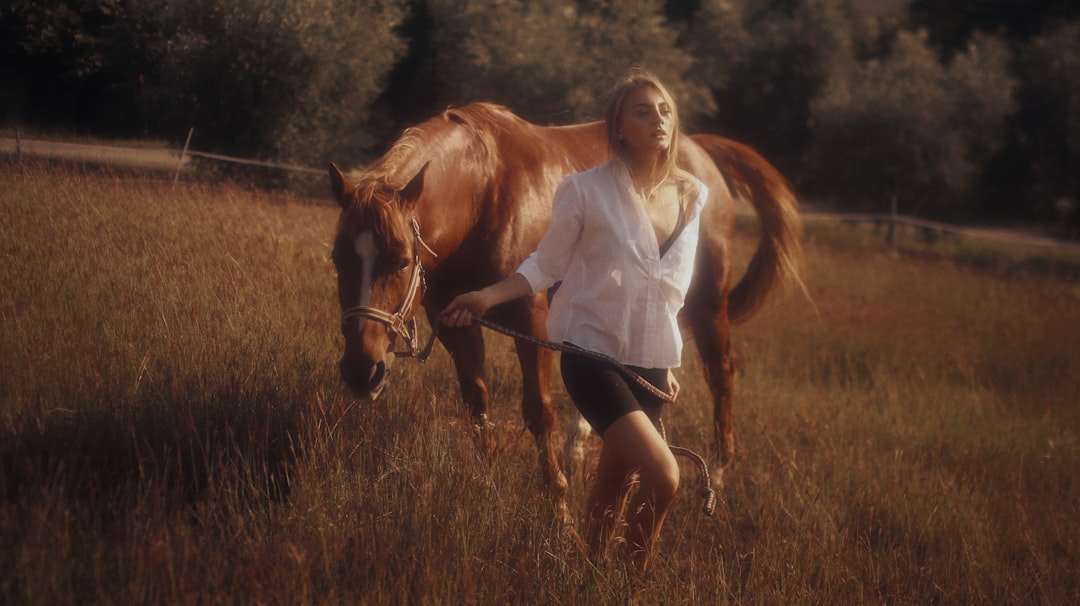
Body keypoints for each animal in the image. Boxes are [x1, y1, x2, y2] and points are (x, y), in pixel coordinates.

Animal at [328, 103, 803, 501]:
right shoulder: (456, 319)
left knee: (721, 373)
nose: (362, 370)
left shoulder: (530, 319)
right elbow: (477, 405)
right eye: (337, 258)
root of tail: (699, 151)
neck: (484, 191)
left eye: (402, 260)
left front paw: (558, 502)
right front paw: (489, 482)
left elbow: (539, 412)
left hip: (708, 303)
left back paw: (718, 473)